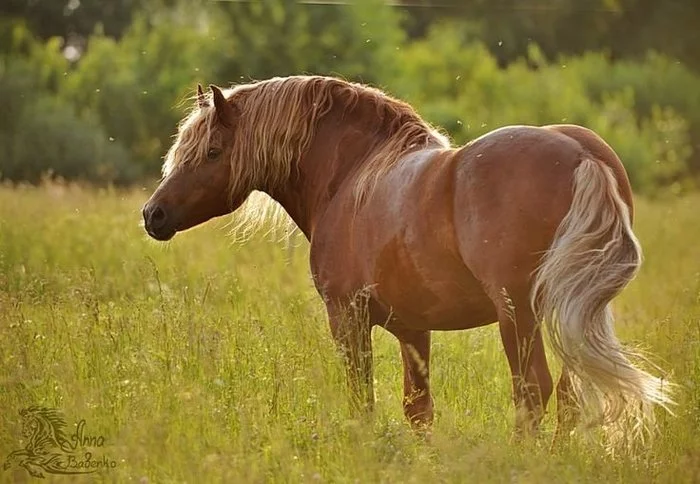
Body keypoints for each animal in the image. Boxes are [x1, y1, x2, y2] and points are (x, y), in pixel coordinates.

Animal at [142, 74, 672, 446]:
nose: (153, 214)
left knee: (533, 392)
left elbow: (362, 399)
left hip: (518, 316)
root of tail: (581, 153)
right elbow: (418, 408)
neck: (352, 176)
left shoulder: (348, 317)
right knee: (567, 394)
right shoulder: (414, 329)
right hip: (566, 312)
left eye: (212, 151)